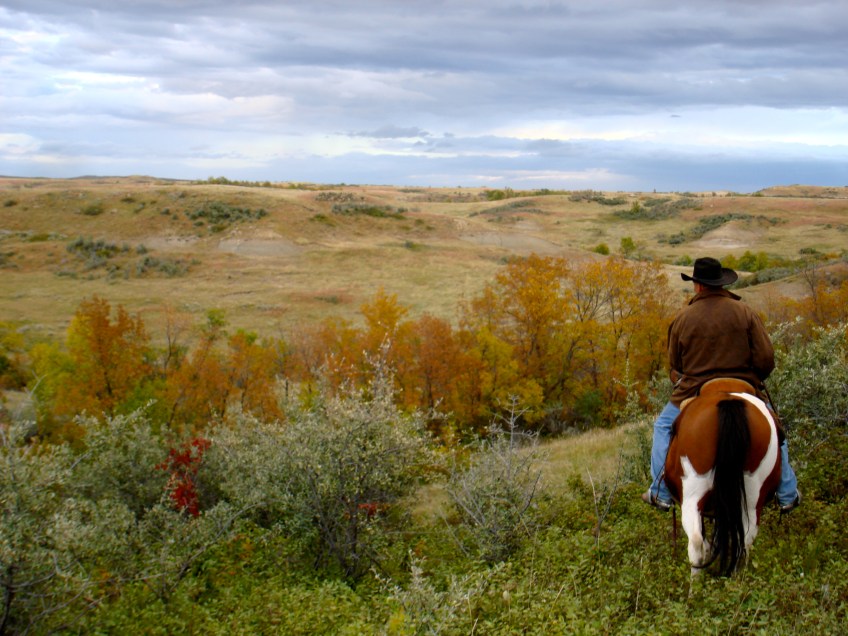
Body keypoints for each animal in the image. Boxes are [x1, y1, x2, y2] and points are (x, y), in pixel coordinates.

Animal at [663, 378, 782, 576]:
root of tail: (728, 402)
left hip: (693, 493)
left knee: (696, 541)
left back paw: (695, 584)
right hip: (752, 494)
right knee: (746, 539)